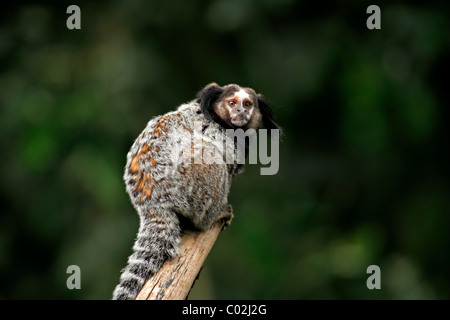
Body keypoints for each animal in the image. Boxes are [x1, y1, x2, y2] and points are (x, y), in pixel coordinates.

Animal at [112, 82, 280, 300]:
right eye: (232, 103)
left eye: (247, 104)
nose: (240, 111)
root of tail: (152, 203)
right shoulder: (219, 136)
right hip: (183, 187)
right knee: (208, 153)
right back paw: (210, 217)